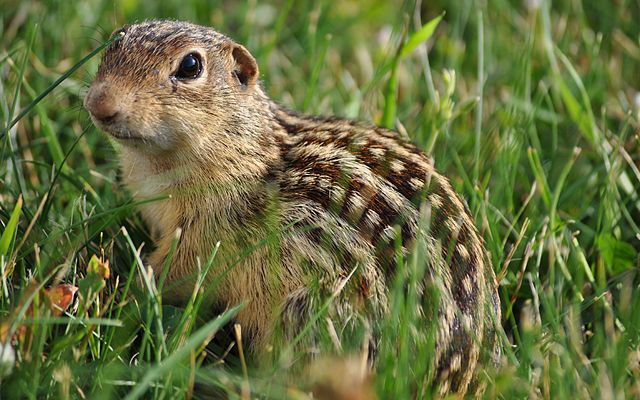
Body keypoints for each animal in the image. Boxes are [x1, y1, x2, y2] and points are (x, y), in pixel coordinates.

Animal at [84, 19, 500, 396]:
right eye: (116, 39)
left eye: (190, 66)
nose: (99, 104)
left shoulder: (205, 234)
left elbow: (171, 275)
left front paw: (119, 298)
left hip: (308, 314)